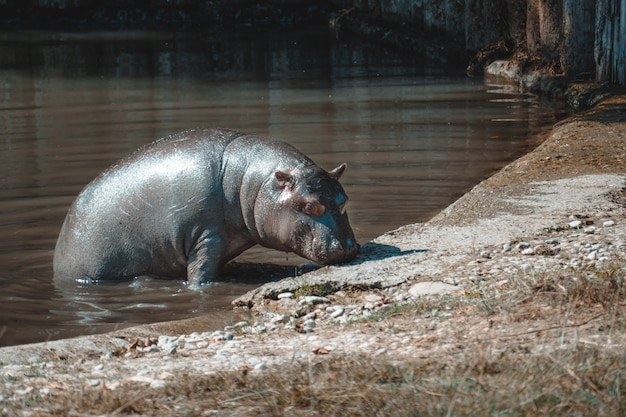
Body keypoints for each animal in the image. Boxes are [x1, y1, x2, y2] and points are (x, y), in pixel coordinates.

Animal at [53, 128, 356, 288]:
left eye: (344, 199)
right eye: (309, 205)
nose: (348, 247)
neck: (252, 182)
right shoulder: (206, 235)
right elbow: (200, 275)